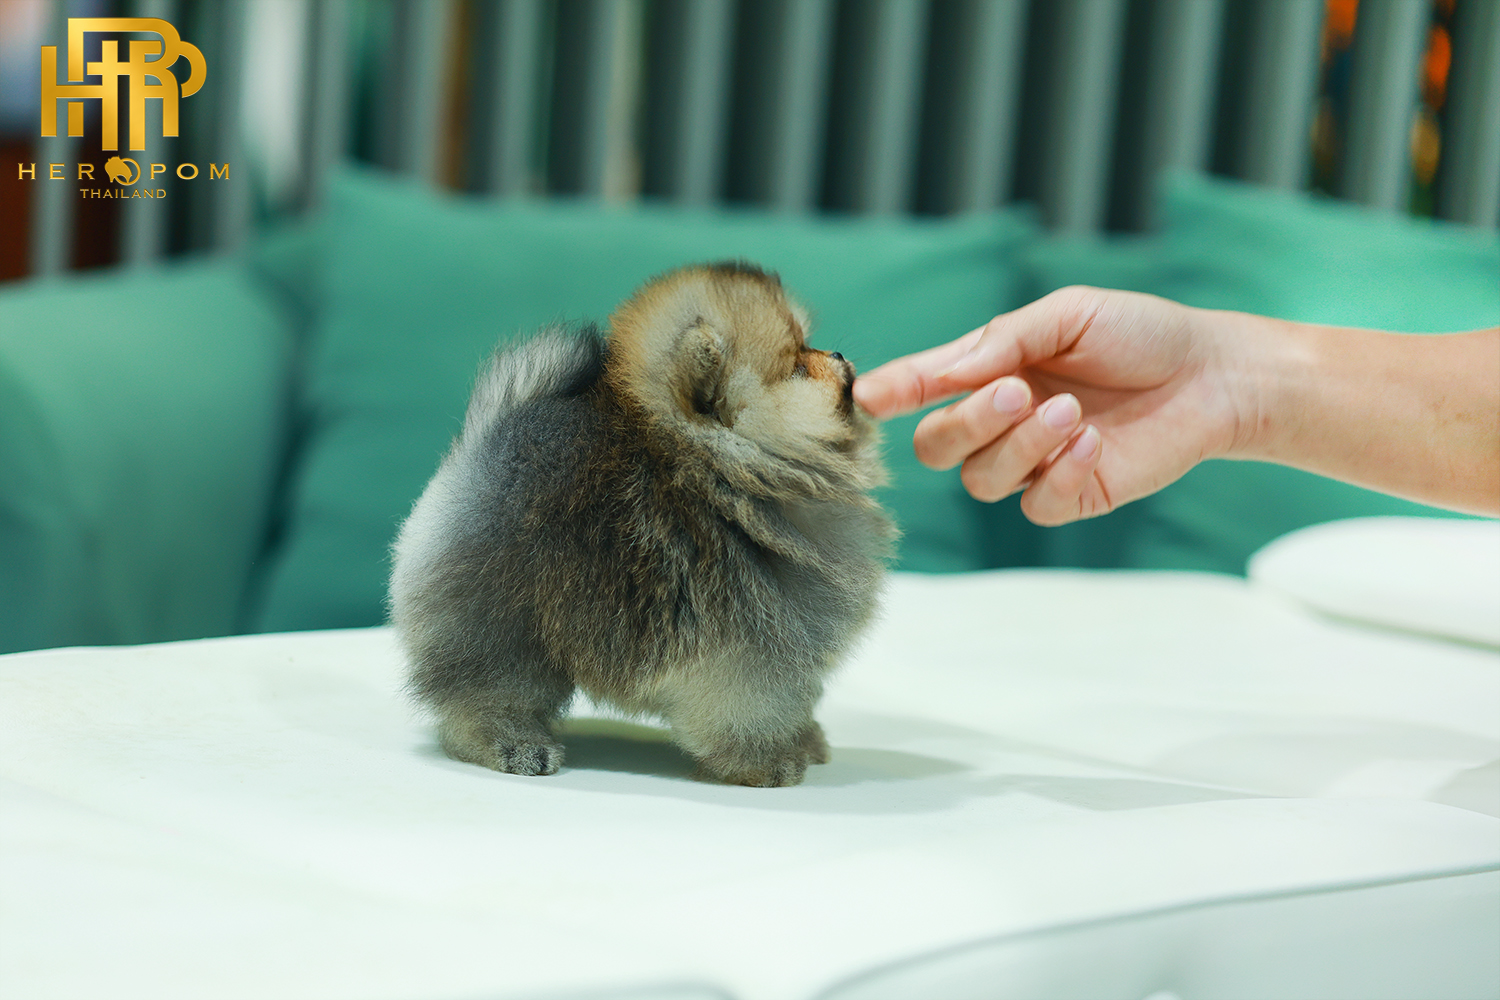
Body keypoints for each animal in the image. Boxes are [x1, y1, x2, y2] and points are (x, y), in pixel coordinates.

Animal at [389, 262, 894, 786]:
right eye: (797, 367)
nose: (837, 353)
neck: (734, 472)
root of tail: (482, 446)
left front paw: (804, 739)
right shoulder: (747, 644)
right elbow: (748, 707)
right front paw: (765, 760)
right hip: (503, 616)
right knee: (486, 690)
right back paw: (510, 743)